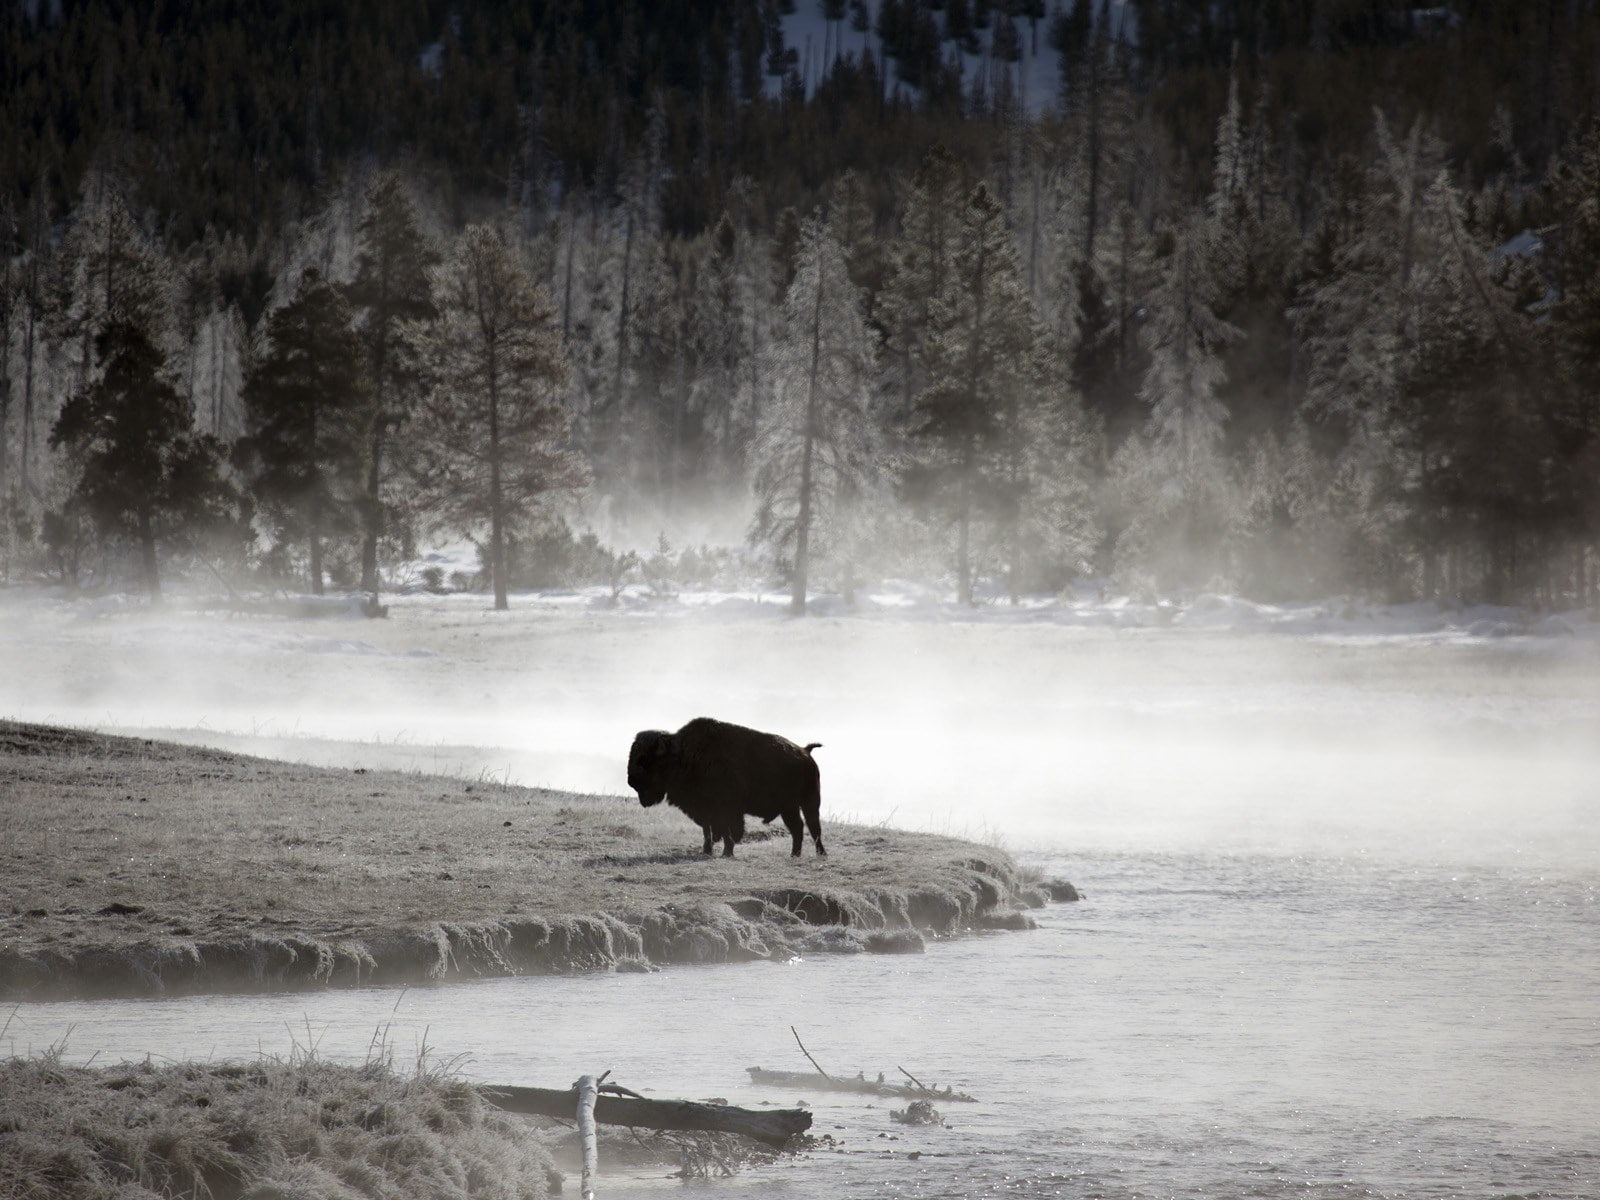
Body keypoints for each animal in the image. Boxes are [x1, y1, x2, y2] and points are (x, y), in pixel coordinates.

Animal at [626, 716, 826, 858]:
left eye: (644, 760)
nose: (631, 780)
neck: (683, 756)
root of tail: (805, 752)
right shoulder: (705, 810)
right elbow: (708, 832)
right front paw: (707, 851)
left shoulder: (726, 810)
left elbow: (727, 831)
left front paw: (726, 852)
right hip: (789, 808)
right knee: (798, 827)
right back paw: (794, 854)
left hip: (809, 802)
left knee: (813, 827)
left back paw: (820, 854)